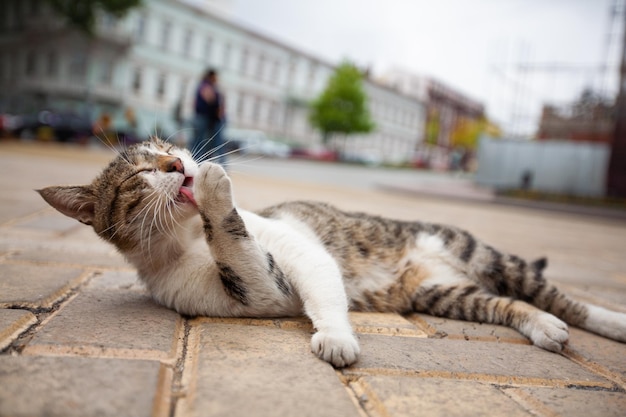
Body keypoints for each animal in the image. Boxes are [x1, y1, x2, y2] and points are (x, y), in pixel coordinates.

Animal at [37, 138, 624, 366]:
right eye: (139, 173)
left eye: (169, 147)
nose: (180, 163)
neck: (186, 237)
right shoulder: (252, 292)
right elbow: (244, 257)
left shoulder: (293, 247)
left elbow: (316, 281)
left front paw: (336, 336)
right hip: (445, 293)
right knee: (509, 303)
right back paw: (543, 328)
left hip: (479, 253)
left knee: (558, 297)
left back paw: (608, 322)